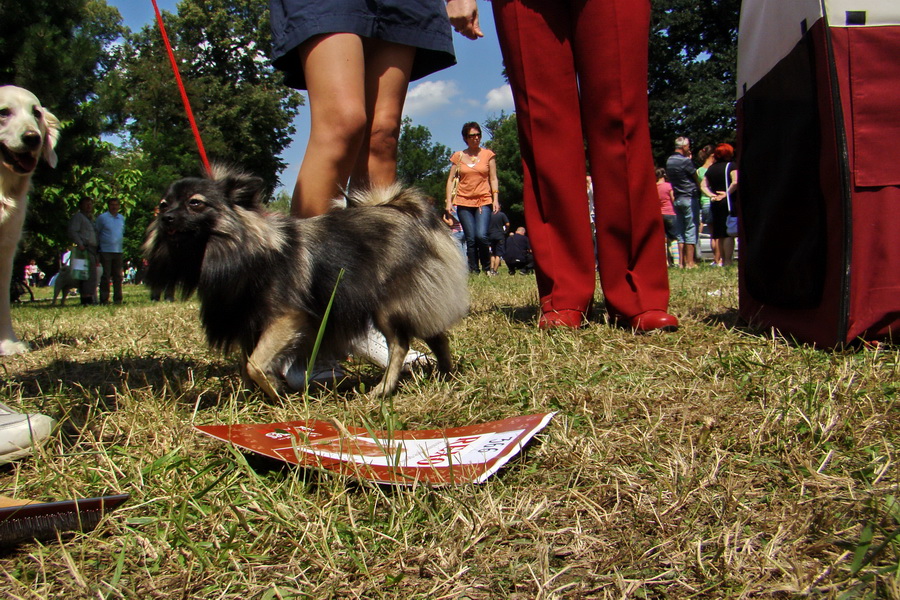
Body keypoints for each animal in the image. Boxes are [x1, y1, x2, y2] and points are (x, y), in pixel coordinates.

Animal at [144, 166, 468, 396]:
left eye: (195, 204)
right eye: (164, 204)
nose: (166, 218)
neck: (242, 250)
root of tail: (405, 210)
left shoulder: (286, 319)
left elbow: (254, 364)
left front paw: (274, 391)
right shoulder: (249, 324)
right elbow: (247, 365)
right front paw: (260, 394)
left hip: (386, 306)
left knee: (400, 344)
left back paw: (384, 388)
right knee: (437, 336)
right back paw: (445, 374)